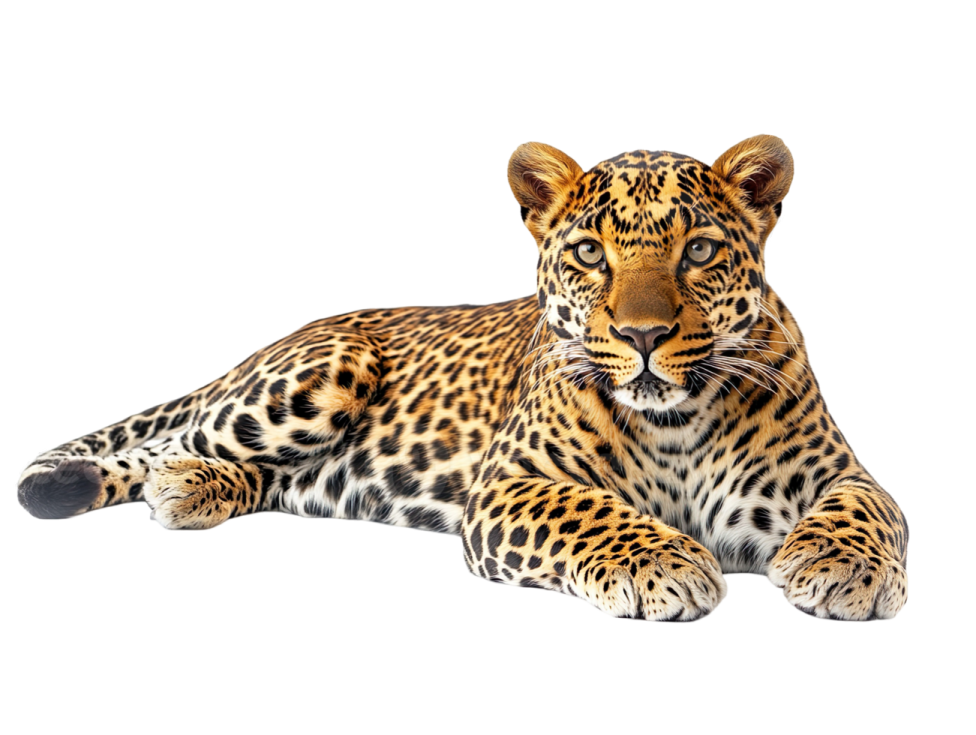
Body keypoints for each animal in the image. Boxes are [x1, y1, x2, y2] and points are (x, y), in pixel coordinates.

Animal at [16, 134, 909, 623]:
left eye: (699, 250)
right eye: (591, 253)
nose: (644, 335)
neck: (676, 421)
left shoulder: (840, 469)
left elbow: (874, 508)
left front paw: (845, 569)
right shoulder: (514, 482)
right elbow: (593, 513)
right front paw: (667, 564)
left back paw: (195, 492)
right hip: (320, 370)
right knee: (170, 436)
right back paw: (145, 480)